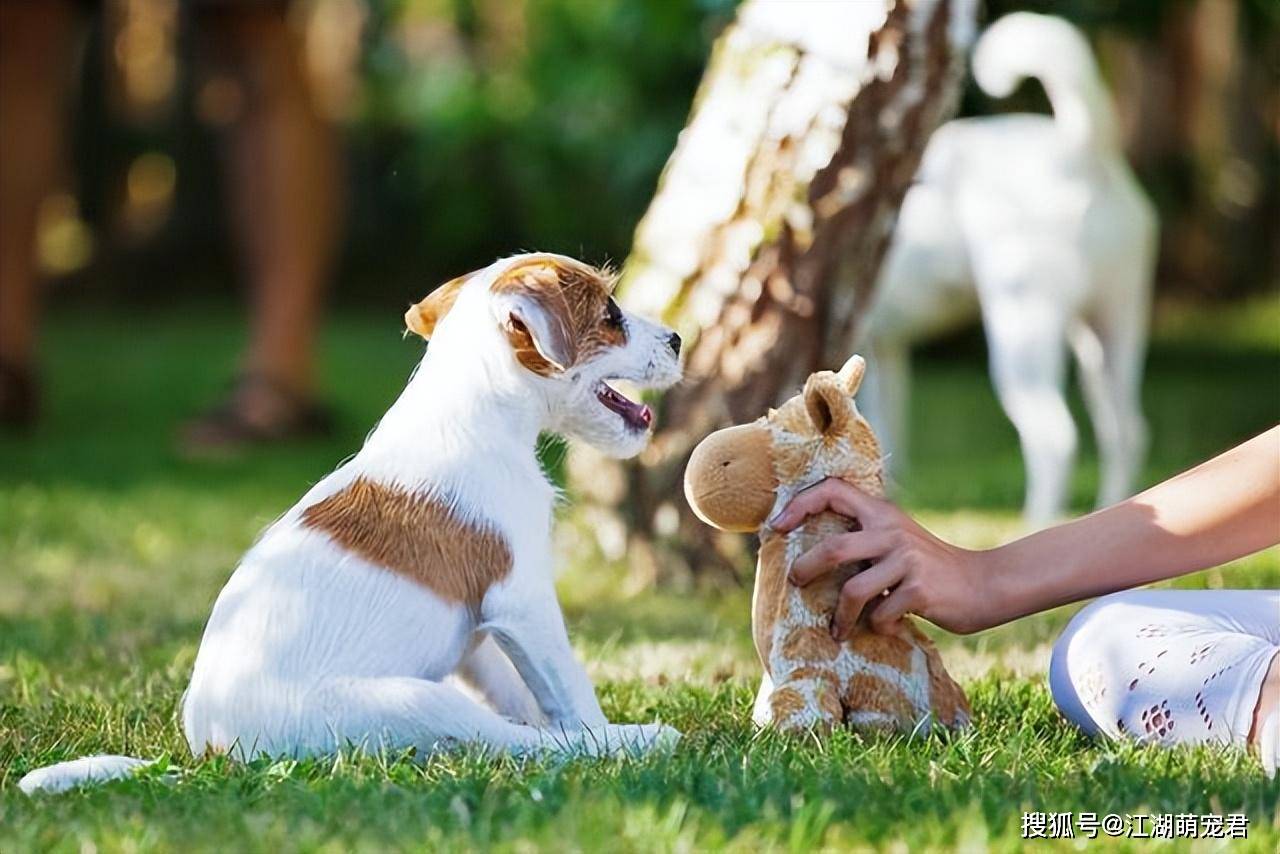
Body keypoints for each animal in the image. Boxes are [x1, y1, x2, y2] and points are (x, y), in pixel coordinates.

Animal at [860, 11, 1162, 527]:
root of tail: (1080, 151)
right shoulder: (884, 354)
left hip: (1021, 332)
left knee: (1055, 440)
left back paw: (1036, 529)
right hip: (1110, 330)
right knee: (1127, 431)